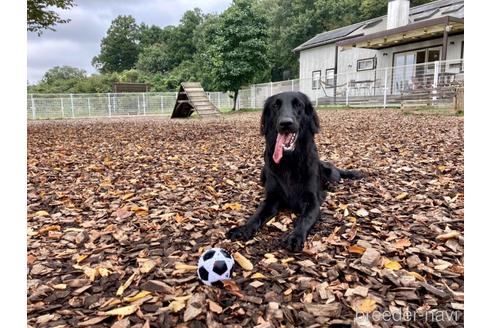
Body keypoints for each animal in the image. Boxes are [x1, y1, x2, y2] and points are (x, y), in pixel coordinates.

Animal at [227, 91, 362, 251]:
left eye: (298, 105)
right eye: (275, 106)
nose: (286, 123)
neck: (289, 161)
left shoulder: (312, 201)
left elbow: (305, 219)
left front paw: (295, 236)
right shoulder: (271, 198)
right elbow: (257, 214)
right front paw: (243, 229)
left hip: (331, 174)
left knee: (338, 173)